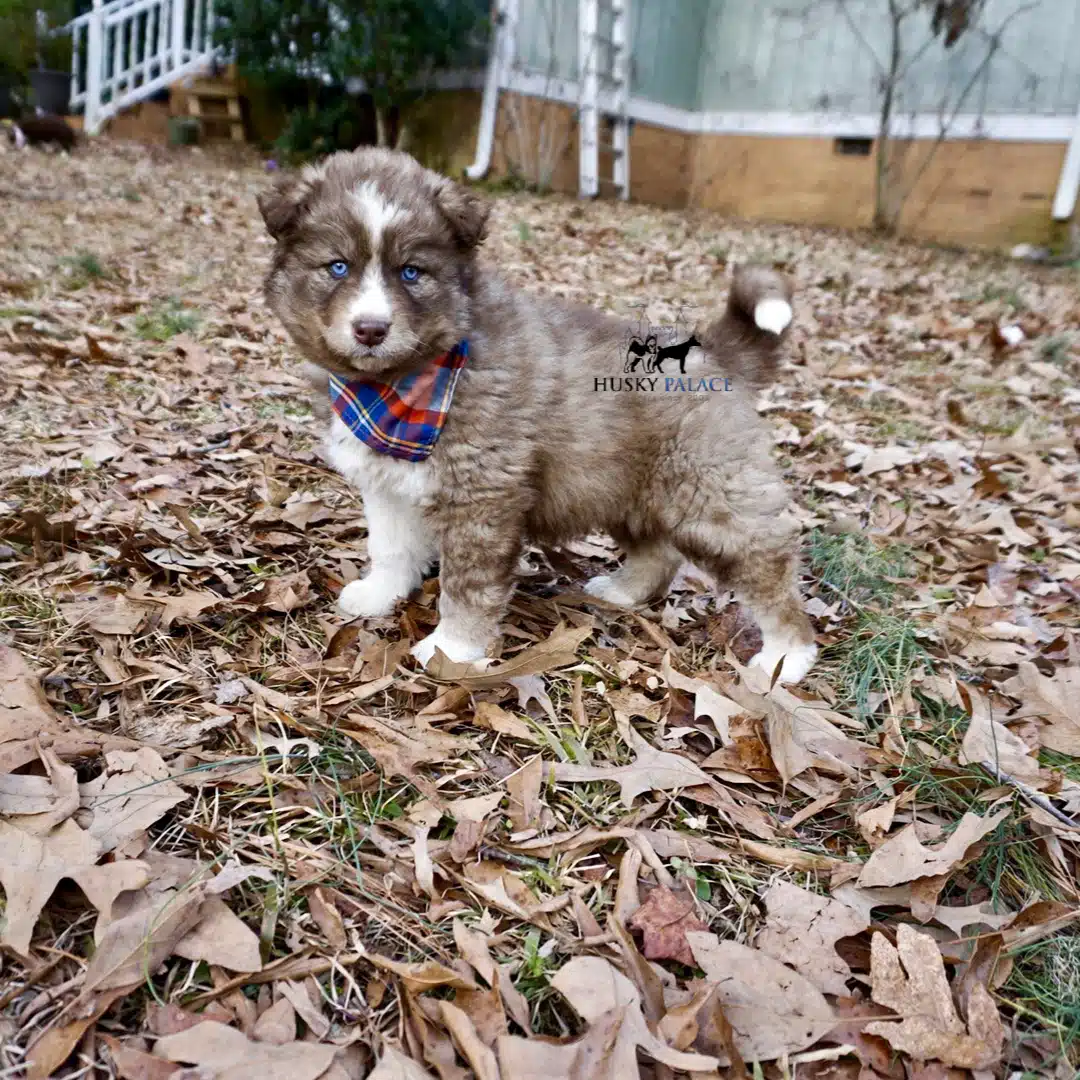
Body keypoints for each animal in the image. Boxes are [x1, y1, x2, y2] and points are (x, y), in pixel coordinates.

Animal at [261, 150, 816, 682]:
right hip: (625, 487)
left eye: (411, 272)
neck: (397, 386)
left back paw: (787, 656)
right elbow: (391, 547)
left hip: (713, 494)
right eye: (337, 267)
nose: (371, 328)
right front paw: (379, 595)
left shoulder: (481, 499)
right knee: (659, 553)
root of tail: (714, 353)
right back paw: (622, 591)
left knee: (768, 563)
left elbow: (468, 585)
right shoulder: (385, 480)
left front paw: (451, 648)